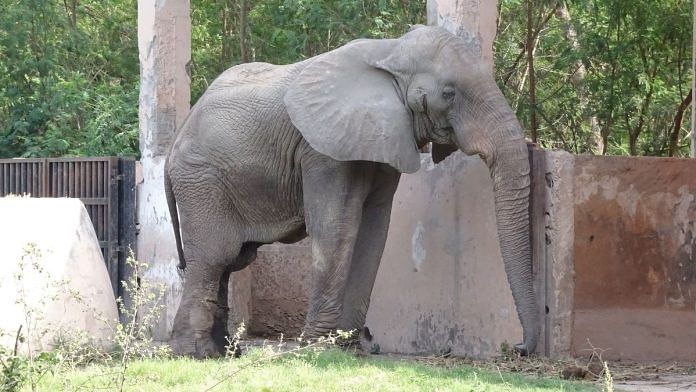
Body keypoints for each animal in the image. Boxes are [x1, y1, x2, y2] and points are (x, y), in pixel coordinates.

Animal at [164, 24, 540, 358]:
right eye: (449, 93)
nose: (516, 347)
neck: (390, 53)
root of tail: (174, 144)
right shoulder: (321, 151)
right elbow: (337, 228)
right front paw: (316, 347)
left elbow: (374, 232)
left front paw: (347, 347)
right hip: (201, 179)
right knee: (216, 256)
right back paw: (195, 354)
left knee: (232, 261)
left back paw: (225, 353)